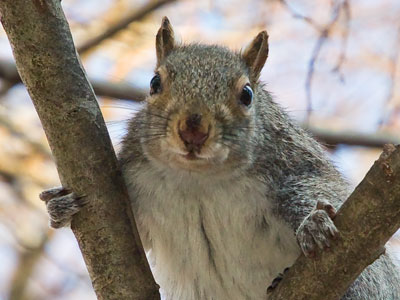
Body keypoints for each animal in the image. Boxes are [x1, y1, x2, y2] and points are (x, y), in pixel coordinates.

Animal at [38, 17, 400, 300]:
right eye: (154, 83)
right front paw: (60, 204)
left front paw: (316, 221)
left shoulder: (293, 162)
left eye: (247, 94)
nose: (193, 129)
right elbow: (134, 234)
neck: (199, 178)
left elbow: (324, 188)